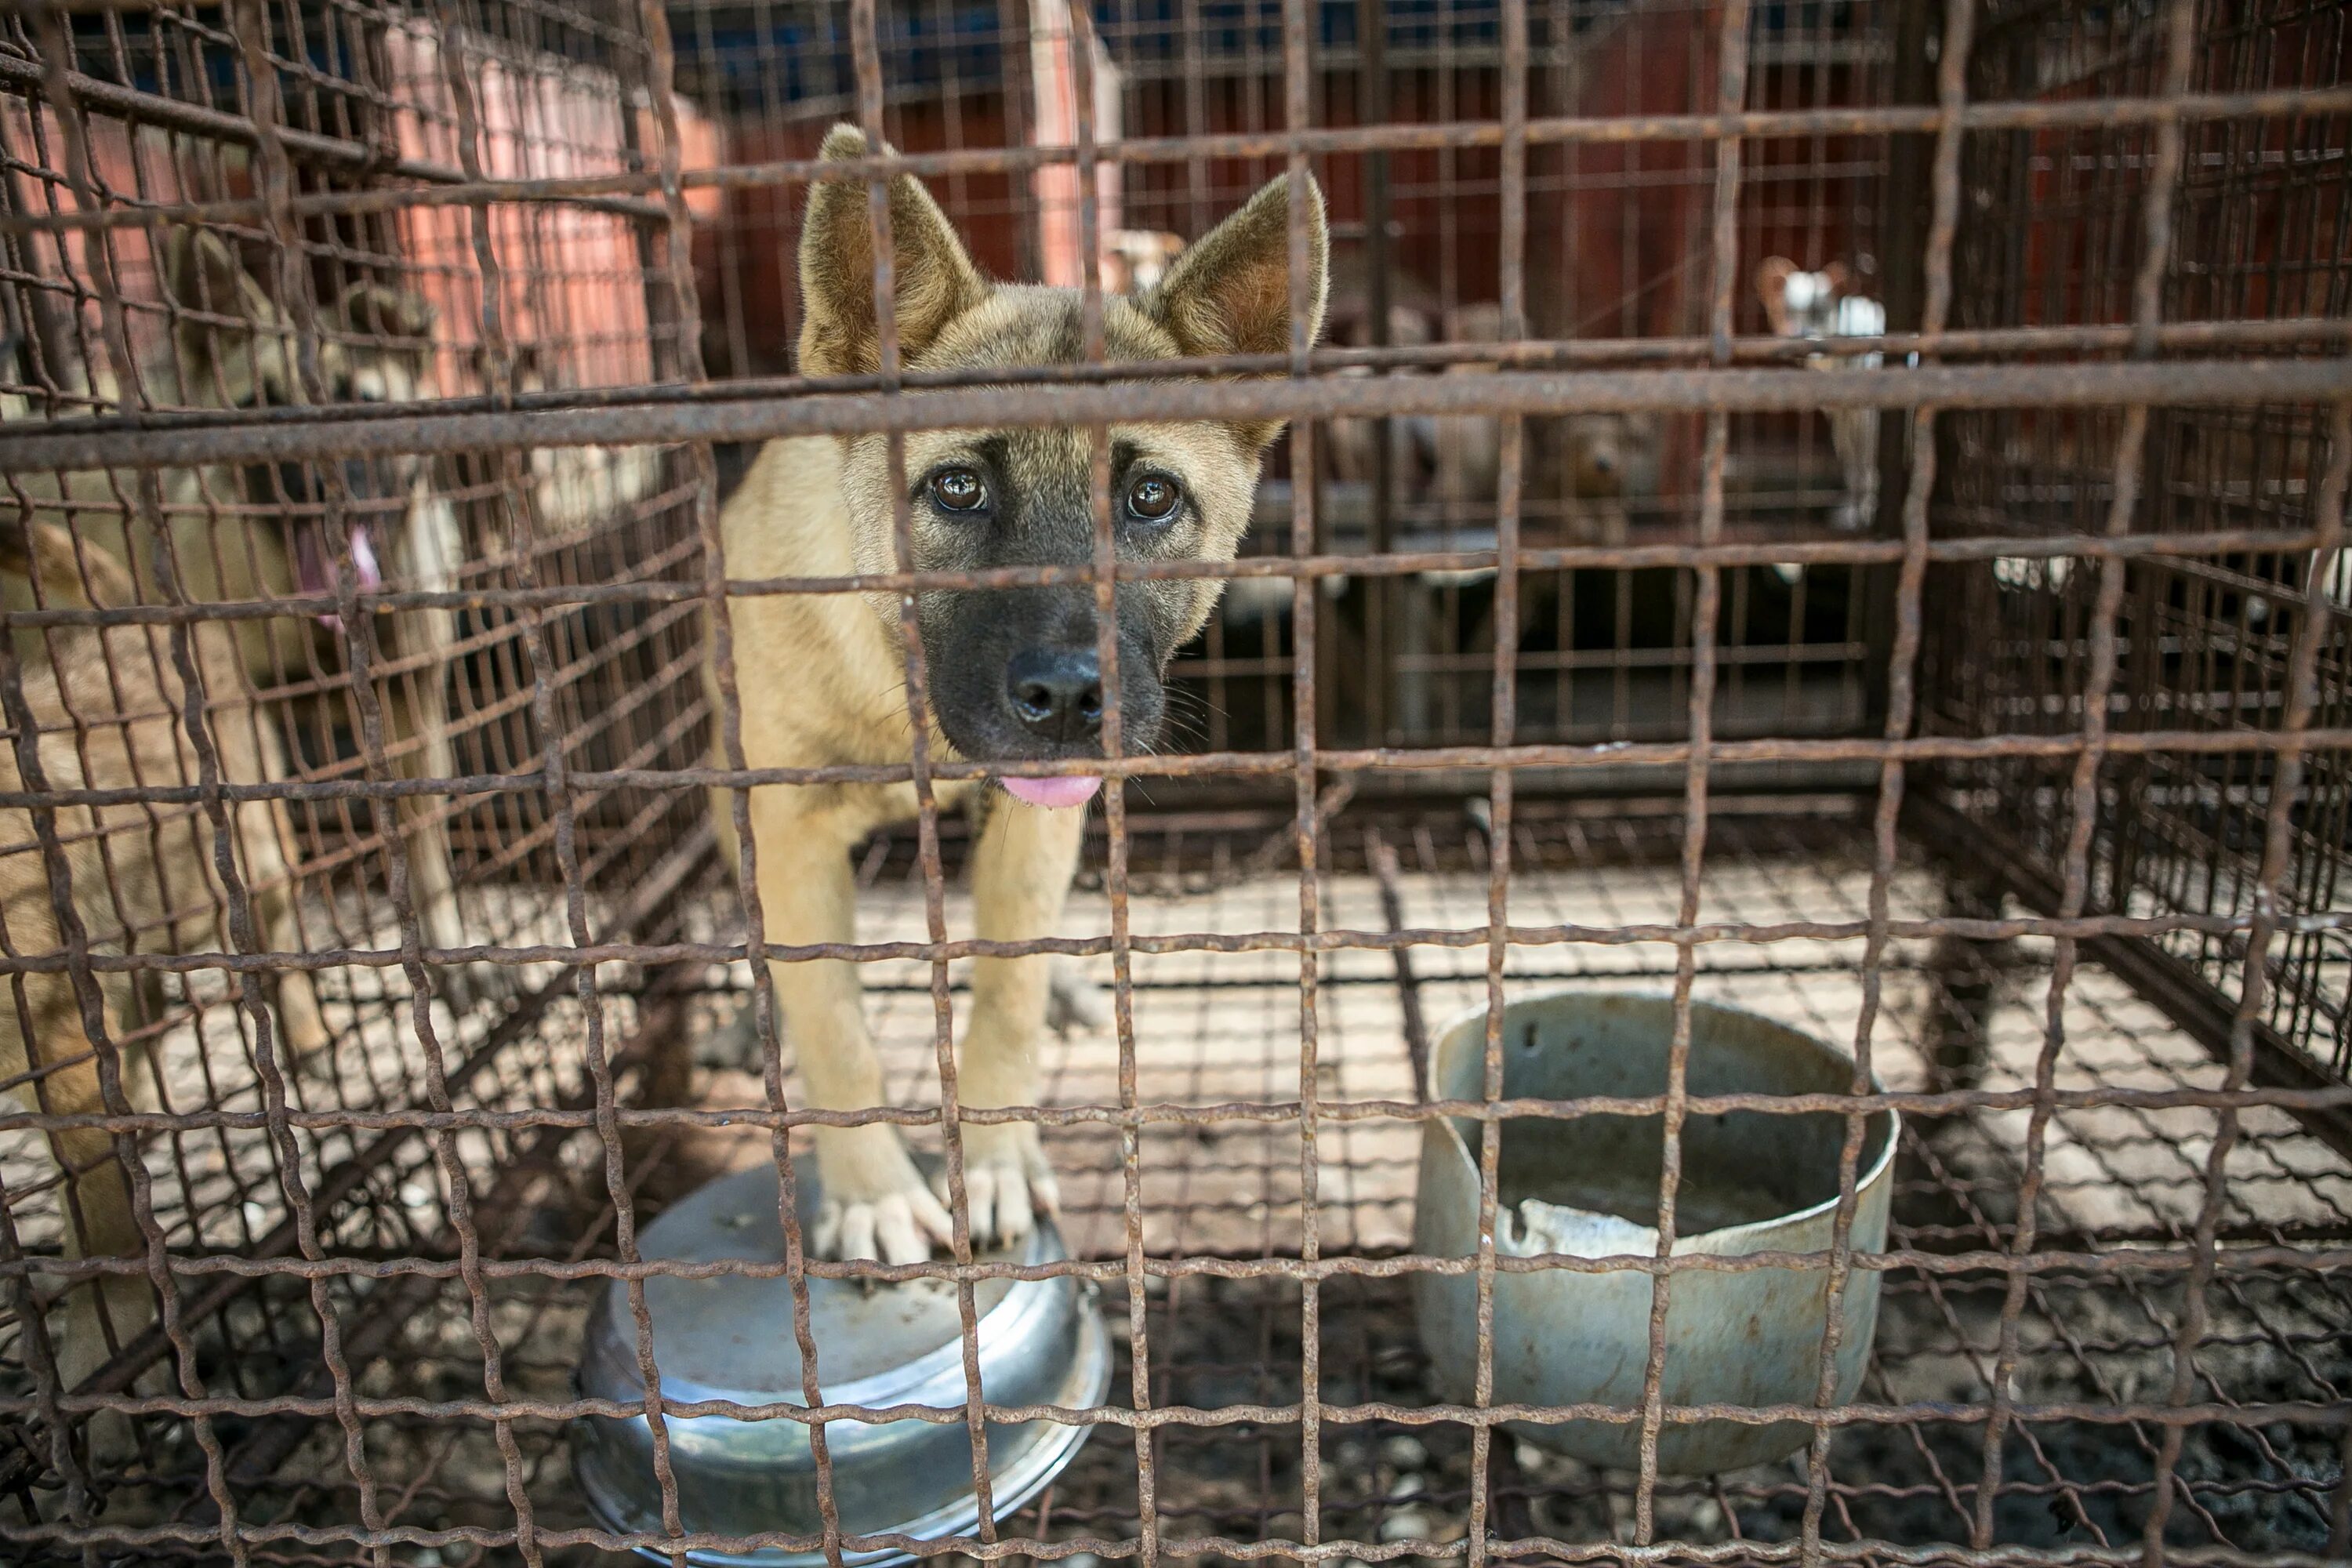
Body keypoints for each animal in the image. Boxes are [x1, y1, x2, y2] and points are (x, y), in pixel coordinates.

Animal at [696, 129, 1327, 1269]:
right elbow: (834, 1028)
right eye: (957, 488)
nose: (1071, 697)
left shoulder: (1039, 825)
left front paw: (990, 1160)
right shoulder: (788, 827)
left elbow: (1005, 999)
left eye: (1150, 497)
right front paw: (871, 1192)